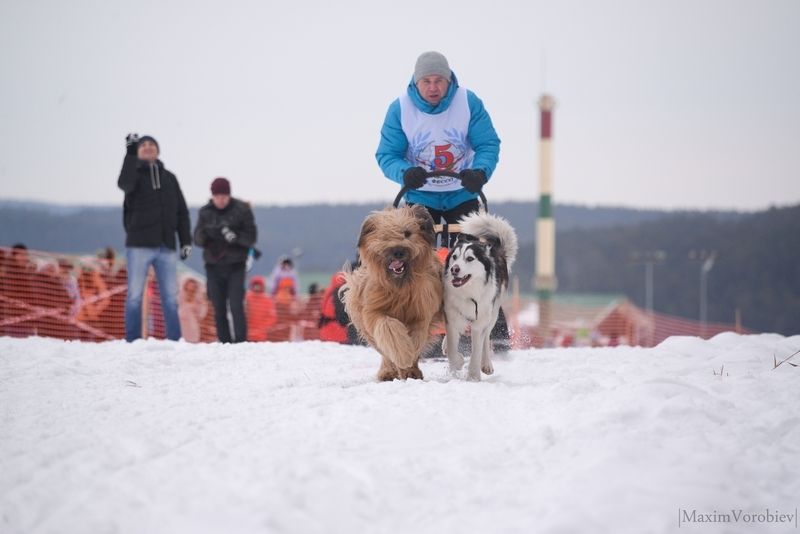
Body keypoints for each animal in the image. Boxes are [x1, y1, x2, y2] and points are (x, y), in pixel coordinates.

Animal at [340, 204, 444, 382]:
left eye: (407, 233)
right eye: (384, 236)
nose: (398, 251)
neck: (399, 287)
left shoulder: (421, 314)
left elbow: (416, 339)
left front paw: (408, 363)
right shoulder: (374, 311)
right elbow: (389, 330)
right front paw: (403, 357)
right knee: (384, 351)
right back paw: (388, 372)